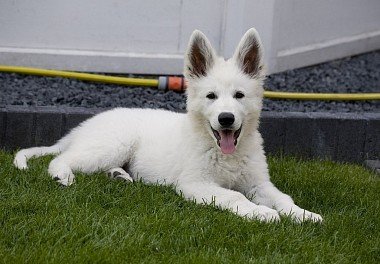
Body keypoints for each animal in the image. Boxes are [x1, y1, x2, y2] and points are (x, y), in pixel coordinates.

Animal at [15, 28, 324, 223]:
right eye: (211, 96)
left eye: (239, 95)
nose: (226, 118)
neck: (225, 154)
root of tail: (87, 125)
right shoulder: (194, 184)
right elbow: (234, 196)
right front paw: (261, 213)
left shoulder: (259, 182)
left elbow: (283, 197)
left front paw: (302, 214)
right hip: (110, 145)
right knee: (60, 159)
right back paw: (63, 176)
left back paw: (120, 176)